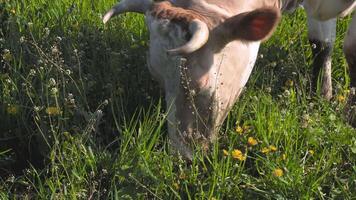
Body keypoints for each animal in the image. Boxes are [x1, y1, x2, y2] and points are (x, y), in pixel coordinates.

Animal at [103, 0, 356, 159]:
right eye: (157, 77)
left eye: (200, 85)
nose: (182, 156)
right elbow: (320, 44)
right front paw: (321, 96)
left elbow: (349, 47)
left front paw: (350, 116)